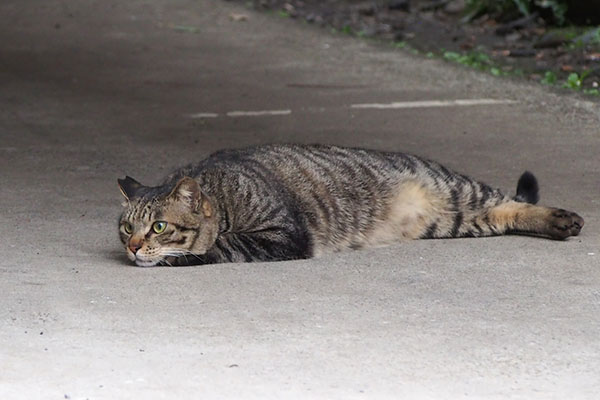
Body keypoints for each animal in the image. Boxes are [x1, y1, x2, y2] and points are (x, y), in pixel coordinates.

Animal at [116, 142, 580, 268]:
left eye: (158, 226)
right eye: (125, 228)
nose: (133, 247)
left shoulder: (283, 234)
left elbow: (219, 245)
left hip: (458, 189)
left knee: (510, 199)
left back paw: (565, 219)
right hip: (459, 218)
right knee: (507, 212)